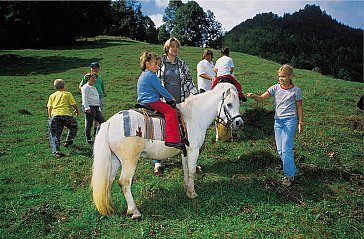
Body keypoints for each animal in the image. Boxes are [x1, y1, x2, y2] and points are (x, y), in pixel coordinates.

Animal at [91, 83, 245, 219]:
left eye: (238, 104)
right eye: (229, 104)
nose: (239, 123)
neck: (194, 115)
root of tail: (109, 123)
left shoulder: (184, 152)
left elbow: (185, 170)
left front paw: (187, 189)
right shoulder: (193, 151)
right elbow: (192, 171)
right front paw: (192, 193)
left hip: (115, 160)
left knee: (109, 180)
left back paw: (111, 207)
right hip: (129, 161)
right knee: (124, 182)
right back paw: (134, 211)